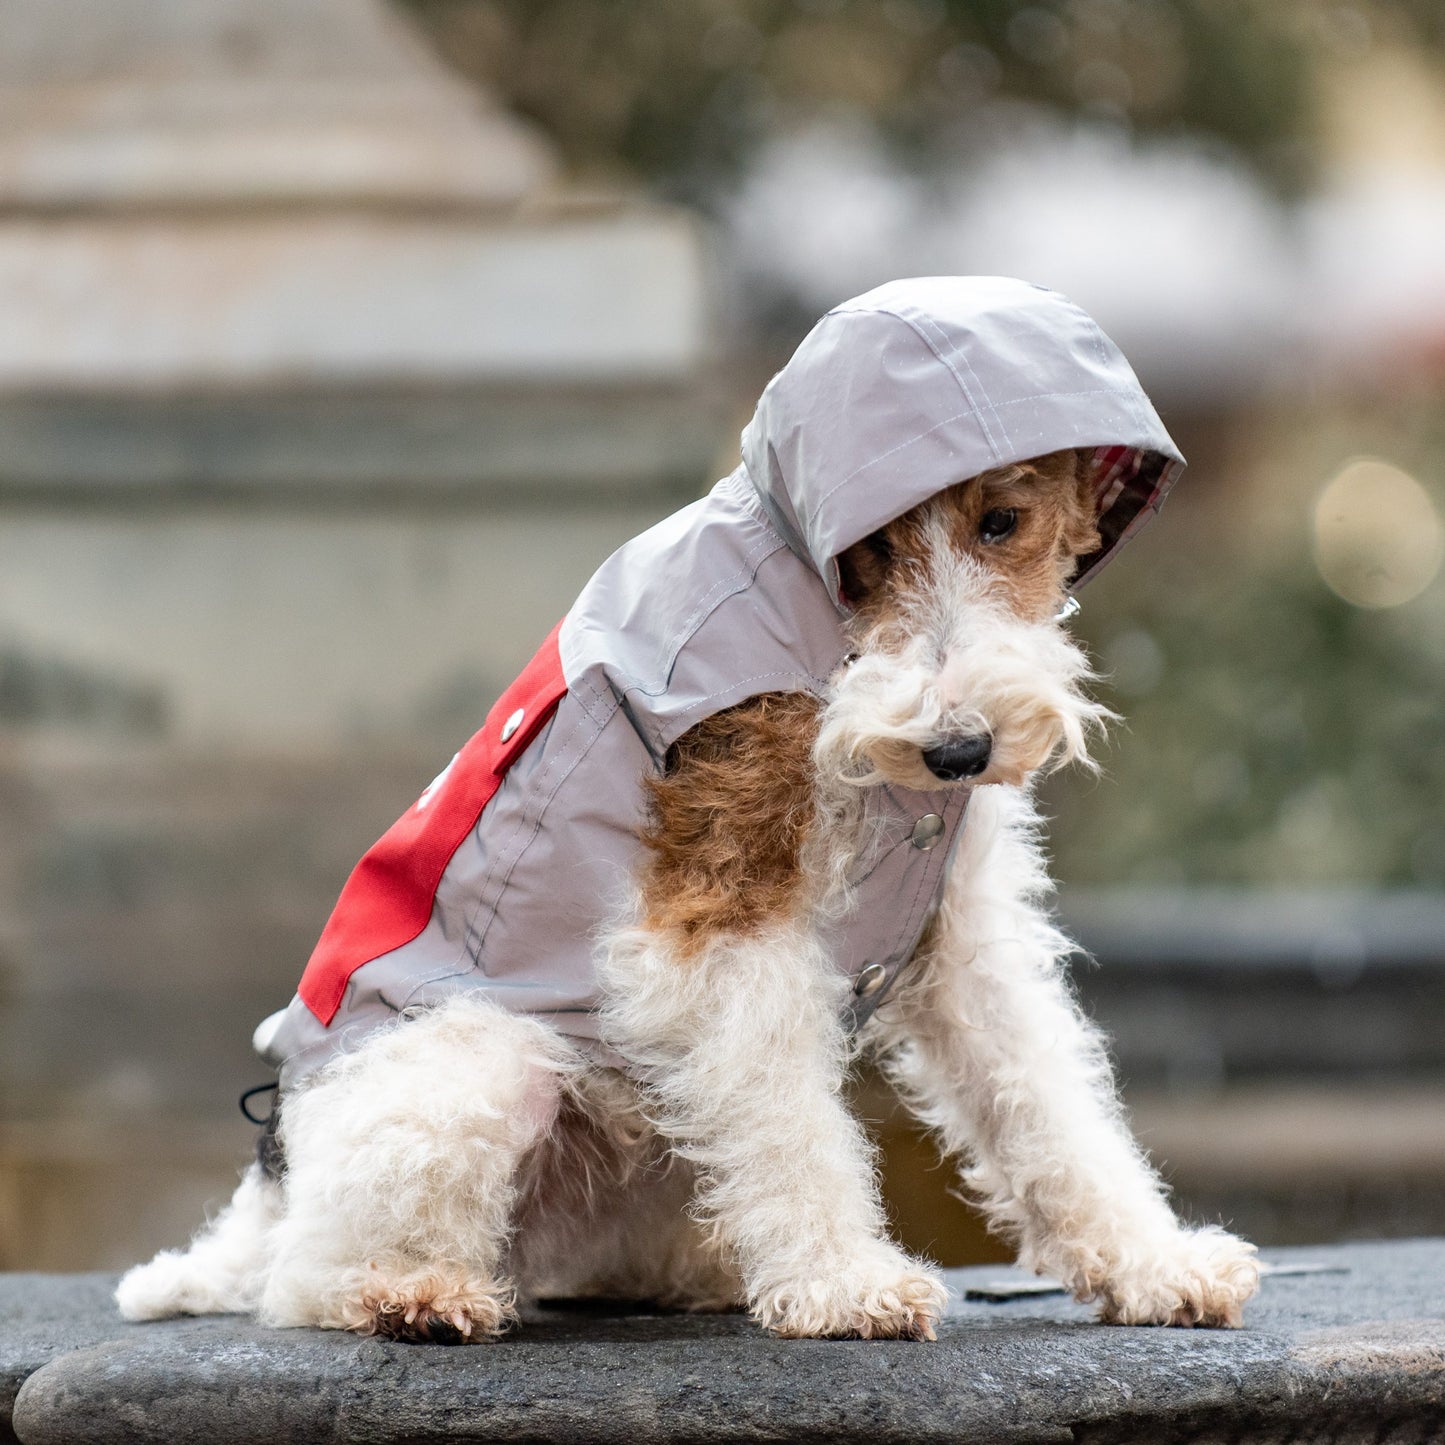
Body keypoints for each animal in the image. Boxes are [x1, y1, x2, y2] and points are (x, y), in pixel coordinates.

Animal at [118, 278, 1260, 1340]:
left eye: (1001, 521)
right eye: (864, 554)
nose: (955, 748)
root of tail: (271, 1179)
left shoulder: (961, 930)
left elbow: (1046, 1101)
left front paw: (1155, 1265)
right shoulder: (724, 906)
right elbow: (789, 1112)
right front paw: (845, 1283)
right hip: (477, 1063)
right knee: (305, 1276)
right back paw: (413, 1293)